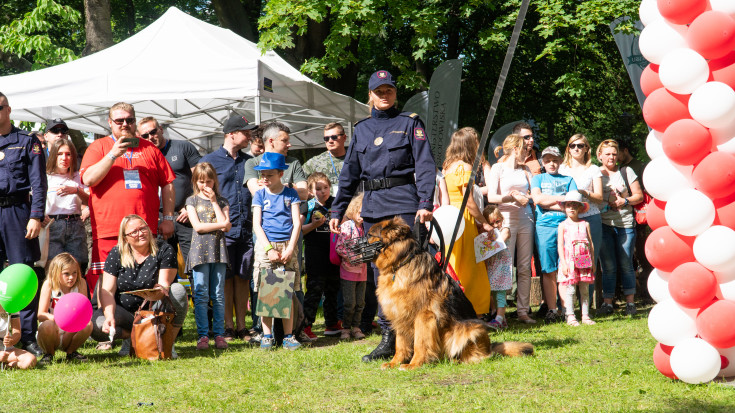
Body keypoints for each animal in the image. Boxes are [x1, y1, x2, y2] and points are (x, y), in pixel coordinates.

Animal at [368, 216, 536, 370]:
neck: (400, 264)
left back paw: (458, 360)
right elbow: (400, 344)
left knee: (481, 356)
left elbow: (420, 343)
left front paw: (414, 364)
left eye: (369, 235)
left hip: (469, 328)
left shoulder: (423, 316)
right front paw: (394, 362)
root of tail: (489, 347)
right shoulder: (400, 315)